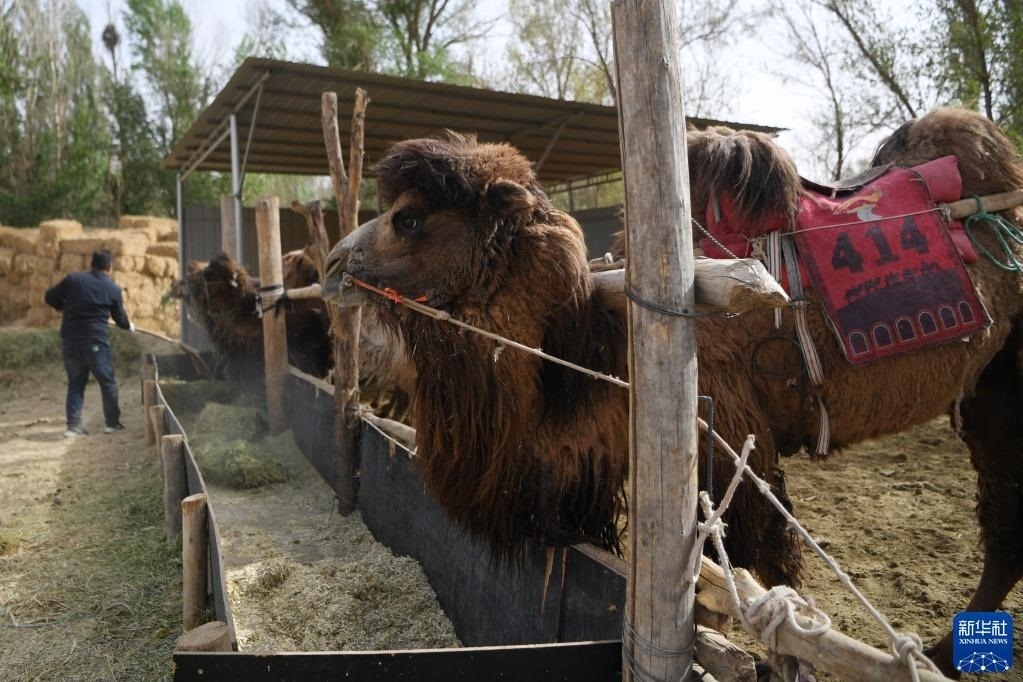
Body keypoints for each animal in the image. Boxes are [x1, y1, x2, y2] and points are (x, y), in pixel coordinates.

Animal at [322, 109, 1023, 676]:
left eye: (408, 219)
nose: (330, 267)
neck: (601, 344)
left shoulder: (732, 439)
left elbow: (769, 578)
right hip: (989, 394)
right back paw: (944, 655)